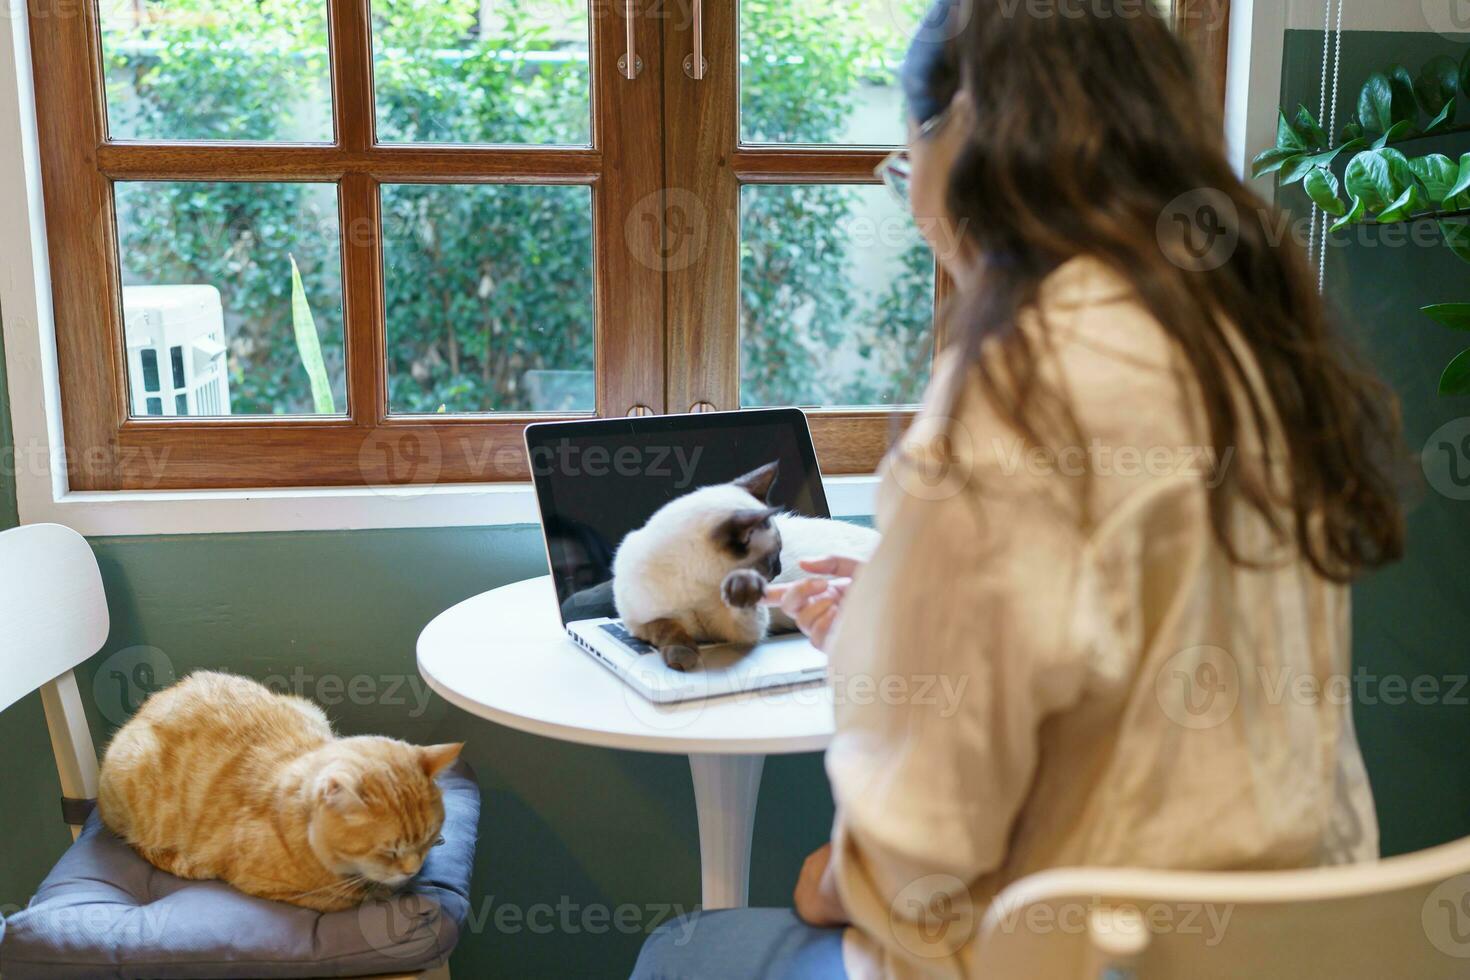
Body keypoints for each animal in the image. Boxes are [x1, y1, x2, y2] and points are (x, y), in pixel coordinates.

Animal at [97, 675, 461, 910]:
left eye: (428, 836)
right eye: (389, 851)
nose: (412, 869)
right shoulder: (275, 886)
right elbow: (343, 897)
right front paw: (374, 890)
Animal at [611, 464, 876, 669]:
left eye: (780, 552)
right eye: (774, 556)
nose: (778, 571)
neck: (694, 589)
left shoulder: (743, 630)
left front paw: (743, 588)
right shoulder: (640, 623)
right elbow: (670, 629)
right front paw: (683, 657)